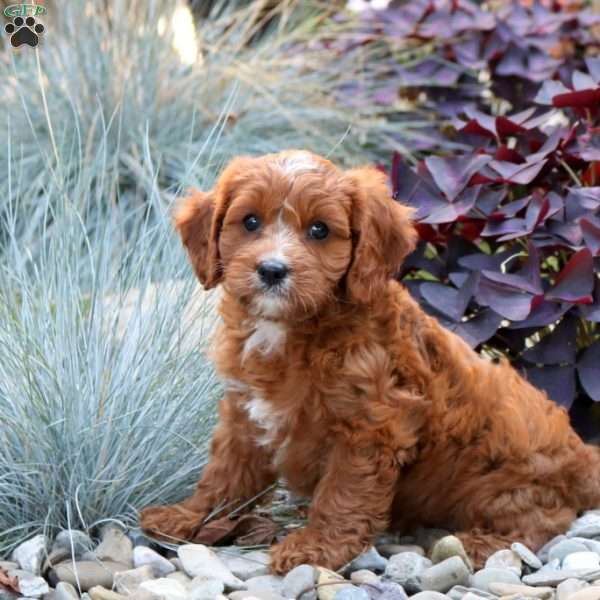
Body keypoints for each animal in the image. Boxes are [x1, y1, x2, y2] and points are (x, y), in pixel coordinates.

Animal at [139, 150, 600, 572]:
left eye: (319, 230)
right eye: (250, 222)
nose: (272, 270)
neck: (290, 328)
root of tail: (582, 456)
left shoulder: (370, 425)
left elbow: (344, 491)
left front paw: (316, 547)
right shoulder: (245, 413)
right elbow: (225, 472)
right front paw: (188, 516)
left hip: (504, 478)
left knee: (541, 519)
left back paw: (477, 545)